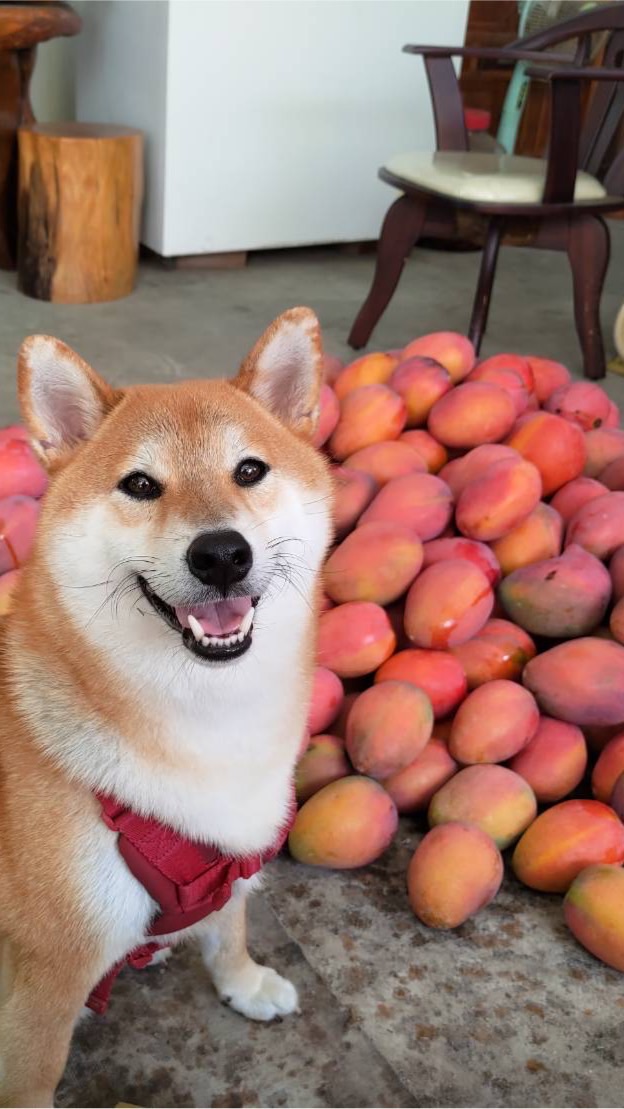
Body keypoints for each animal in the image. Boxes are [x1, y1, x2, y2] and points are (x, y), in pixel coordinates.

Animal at [0, 308, 332, 1104]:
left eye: (250, 470)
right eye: (141, 484)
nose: (222, 554)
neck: (205, 728)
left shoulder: (232, 849)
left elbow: (230, 923)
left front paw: (244, 982)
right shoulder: (42, 987)